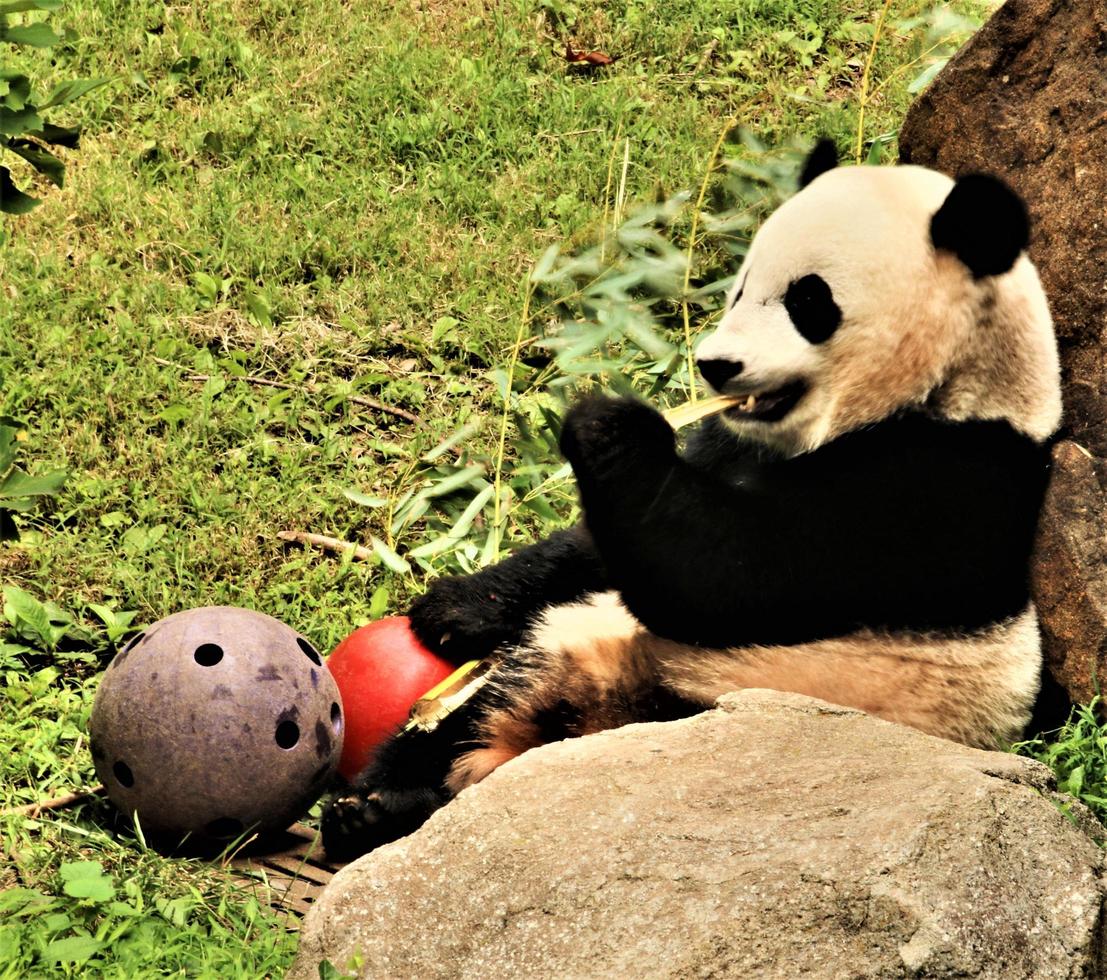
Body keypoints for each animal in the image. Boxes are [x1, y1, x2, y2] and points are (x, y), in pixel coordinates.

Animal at [323, 141, 1062, 859]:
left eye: (808, 301)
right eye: (740, 287)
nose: (714, 365)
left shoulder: (935, 482)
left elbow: (724, 576)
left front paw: (609, 422)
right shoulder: (731, 447)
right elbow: (603, 543)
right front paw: (452, 609)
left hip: (731, 699)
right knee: (469, 708)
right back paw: (376, 804)